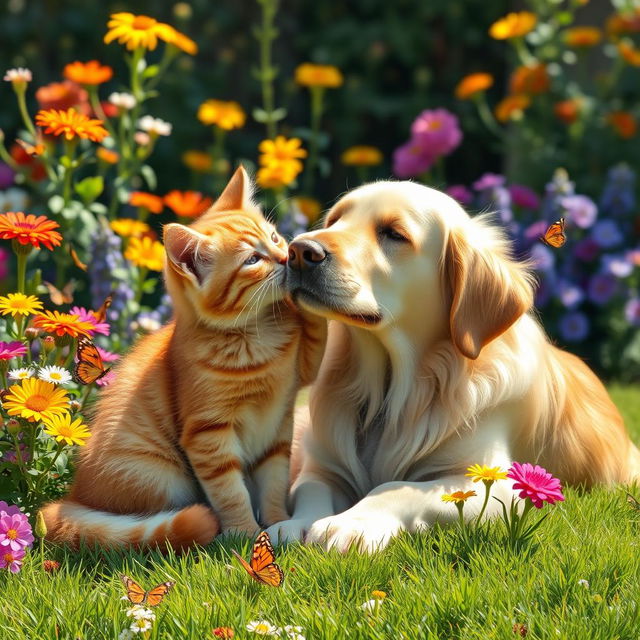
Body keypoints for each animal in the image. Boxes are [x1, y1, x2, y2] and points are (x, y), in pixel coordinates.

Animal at [42, 168, 328, 548]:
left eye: (274, 237)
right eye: (252, 260)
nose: (287, 257)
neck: (257, 335)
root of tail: (70, 499)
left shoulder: (289, 403)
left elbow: (274, 483)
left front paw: (279, 522)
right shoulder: (207, 433)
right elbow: (231, 491)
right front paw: (246, 533)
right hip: (157, 474)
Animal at [264, 179, 640, 552]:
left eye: (394, 234)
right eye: (334, 221)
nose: (298, 251)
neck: (391, 390)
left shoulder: (495, 481)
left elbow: (391, 488)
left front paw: (352, 523)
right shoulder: (323, 465)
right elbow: (311, 490)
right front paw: (295, 524)